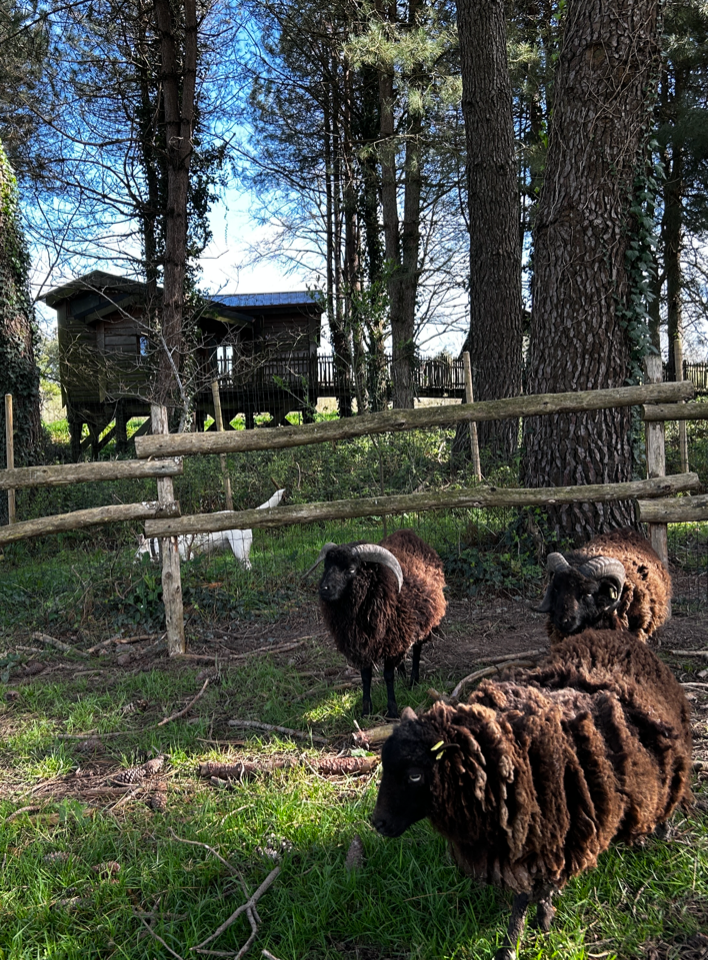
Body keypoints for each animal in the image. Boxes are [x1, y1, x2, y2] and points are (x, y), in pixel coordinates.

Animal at [306, 528, 446, 716]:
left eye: (351, 569)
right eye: (326, 566)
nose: (324, 589)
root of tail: (408, 533)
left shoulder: (390, 641)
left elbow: (388, 676)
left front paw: (392, 710)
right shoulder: (363, 645)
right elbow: (366, 677)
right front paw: (366, 710)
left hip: (425, 621)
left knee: (417, 649)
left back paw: (413, 681)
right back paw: (403, 675)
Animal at [374, 632, 688, 960]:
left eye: (414, 775)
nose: (377, 823)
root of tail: (619, 636)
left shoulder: (545, 833)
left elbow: (527, 894)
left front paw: (519, 938)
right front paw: (538, 919)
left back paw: (663, 832)